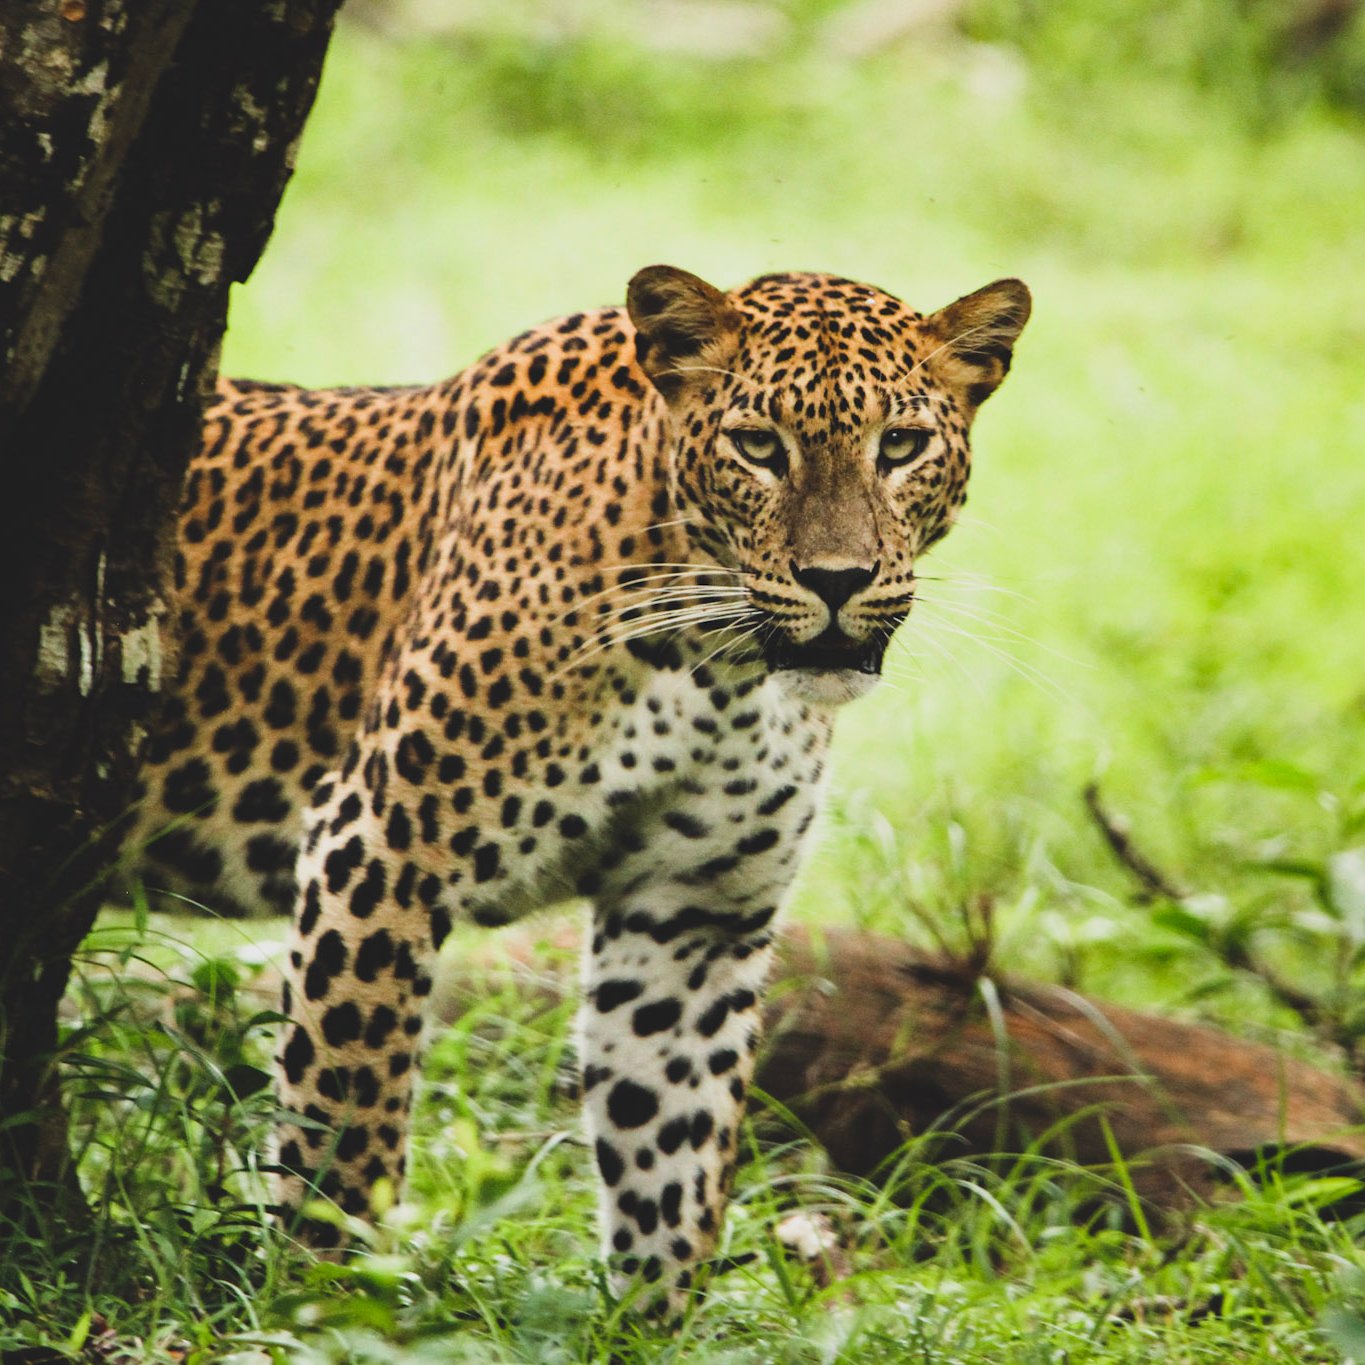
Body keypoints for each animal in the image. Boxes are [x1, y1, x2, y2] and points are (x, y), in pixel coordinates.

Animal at [125, 263, 1031, 1316]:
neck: (715, 664)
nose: (837, 580)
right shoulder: (379, 850)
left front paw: (650, 1325)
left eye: (901, 446)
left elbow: (670, 1156)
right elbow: (346, 1125)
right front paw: (327, 1305)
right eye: (759, 446)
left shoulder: (695, 911)